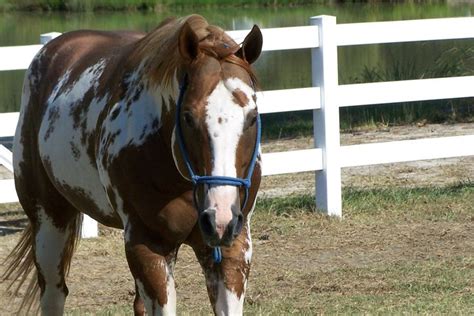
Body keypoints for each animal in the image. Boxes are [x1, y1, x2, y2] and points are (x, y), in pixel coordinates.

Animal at [2, 15, 262, 316]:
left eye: (252, 116)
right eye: (187, 116)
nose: (220, 218)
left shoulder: (232, 249)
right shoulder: (147, 244)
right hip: (49, 219)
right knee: (54, 293)